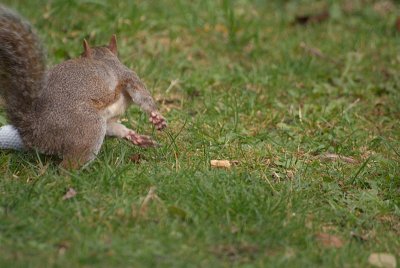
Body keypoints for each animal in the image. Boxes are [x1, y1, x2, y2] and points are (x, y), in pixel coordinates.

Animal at [0, 5, 167, 170]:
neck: (102, 57)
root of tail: (35, 132)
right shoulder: (126, 75)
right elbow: (142, 94)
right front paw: (156, 116)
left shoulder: (109, 119)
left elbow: (114, 127)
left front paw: (134, 136)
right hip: (88, 127)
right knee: (68, 166)